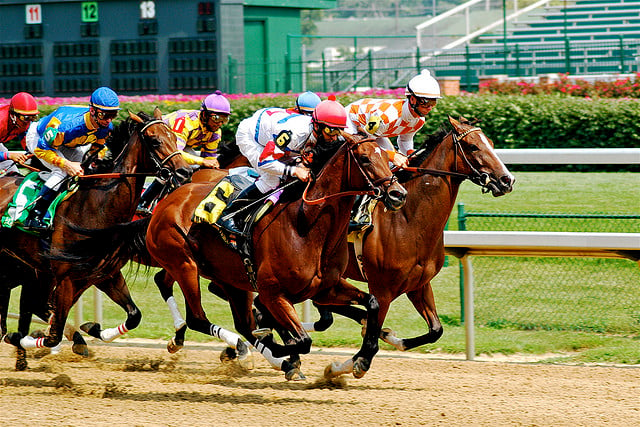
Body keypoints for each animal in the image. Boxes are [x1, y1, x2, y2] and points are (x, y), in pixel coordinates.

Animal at [0, 109, 190, 354]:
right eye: (155, 141)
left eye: (175, 138)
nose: (185, 171)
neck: (96, 206)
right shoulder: (66, 278)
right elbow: (53, 334)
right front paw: (21, 338)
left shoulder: (105, 274)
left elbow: (134, 316)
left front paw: (93, 328)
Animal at [144, 134, 404, 382]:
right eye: (365, 158)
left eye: (386, 156)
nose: (398, 194)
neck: (306, 225)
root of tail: (168, 200)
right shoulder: (273, 293)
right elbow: (302, 340)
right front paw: (281, 347)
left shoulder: (325, 288)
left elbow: (372, 303)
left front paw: (364, 357)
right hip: (184, 265)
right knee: (198, 318)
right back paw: (247, 349)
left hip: (230, 279)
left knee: (240, 322)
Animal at [304, 116, 516, 352]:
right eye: (473, 146)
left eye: (491, 143)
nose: (507, 180)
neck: (408, 220)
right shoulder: (382, 290)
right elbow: (371, 336)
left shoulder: (419, 285)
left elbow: (435, 330)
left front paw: (392, 338)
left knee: (323, 308)